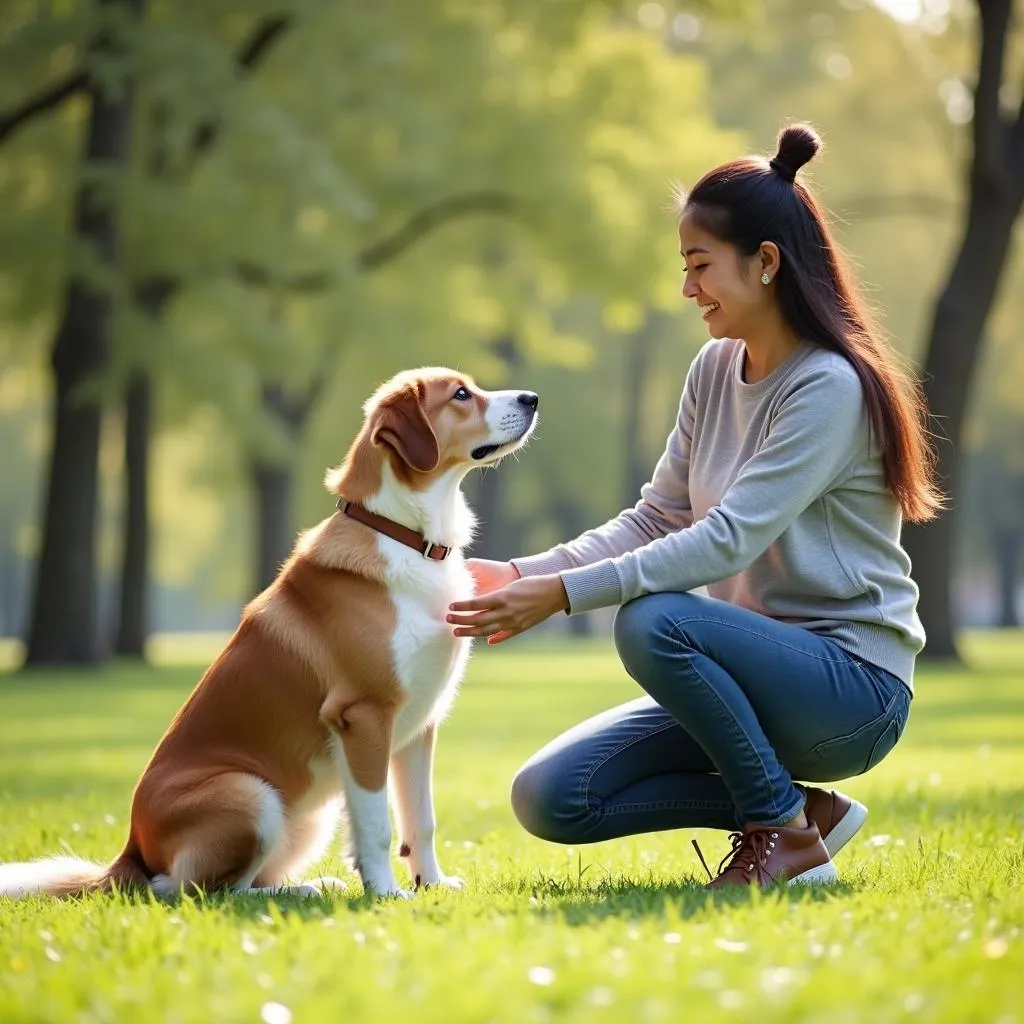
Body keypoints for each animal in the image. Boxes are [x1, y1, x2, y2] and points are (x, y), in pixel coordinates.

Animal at [0, 368, 540, 897]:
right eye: (462, 395)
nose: (532, 398)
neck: (407, 537)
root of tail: (128, 852)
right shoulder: (363, 716)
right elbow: (377, 825)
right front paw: (387, 894)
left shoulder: (419, 724)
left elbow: (419, 820)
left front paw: (432, 883)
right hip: (250, 794)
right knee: (194, 890)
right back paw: (303, 892)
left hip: (307, 816)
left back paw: (312, 884)